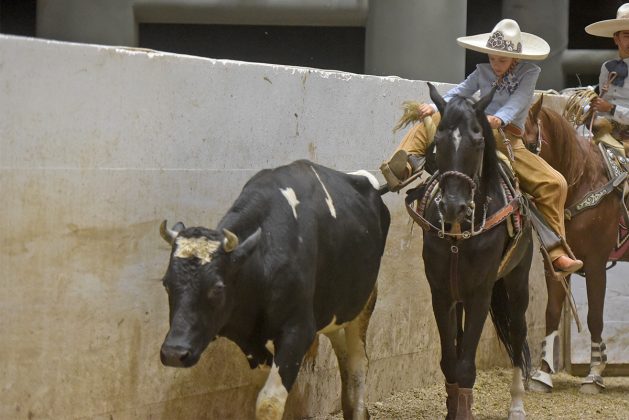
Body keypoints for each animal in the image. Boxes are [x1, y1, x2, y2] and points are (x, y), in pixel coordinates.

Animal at [158, 160, 388, 420]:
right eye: (166, 283)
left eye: (217, 287)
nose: (174, 352)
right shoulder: (247, 339)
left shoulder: (299, 330)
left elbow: (269, 402)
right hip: (334, 310)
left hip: (364, 301)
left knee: (359, 362)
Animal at [408, 83, 536, 418]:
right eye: (438, 140)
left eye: (478, 141)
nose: (454, 206)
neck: (460, 232)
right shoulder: (441, 293)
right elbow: (450, 361)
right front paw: (452, 409)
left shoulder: (481, 293)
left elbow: (466, 366)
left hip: (518, 280)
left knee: (518, 333)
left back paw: (517, 405)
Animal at [520, 95, 628, 394]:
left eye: (528, 143)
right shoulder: (555, 263)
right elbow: (552, 311)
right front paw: (543, 373)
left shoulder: (596, 264)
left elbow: (595, 317)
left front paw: (594, 375)